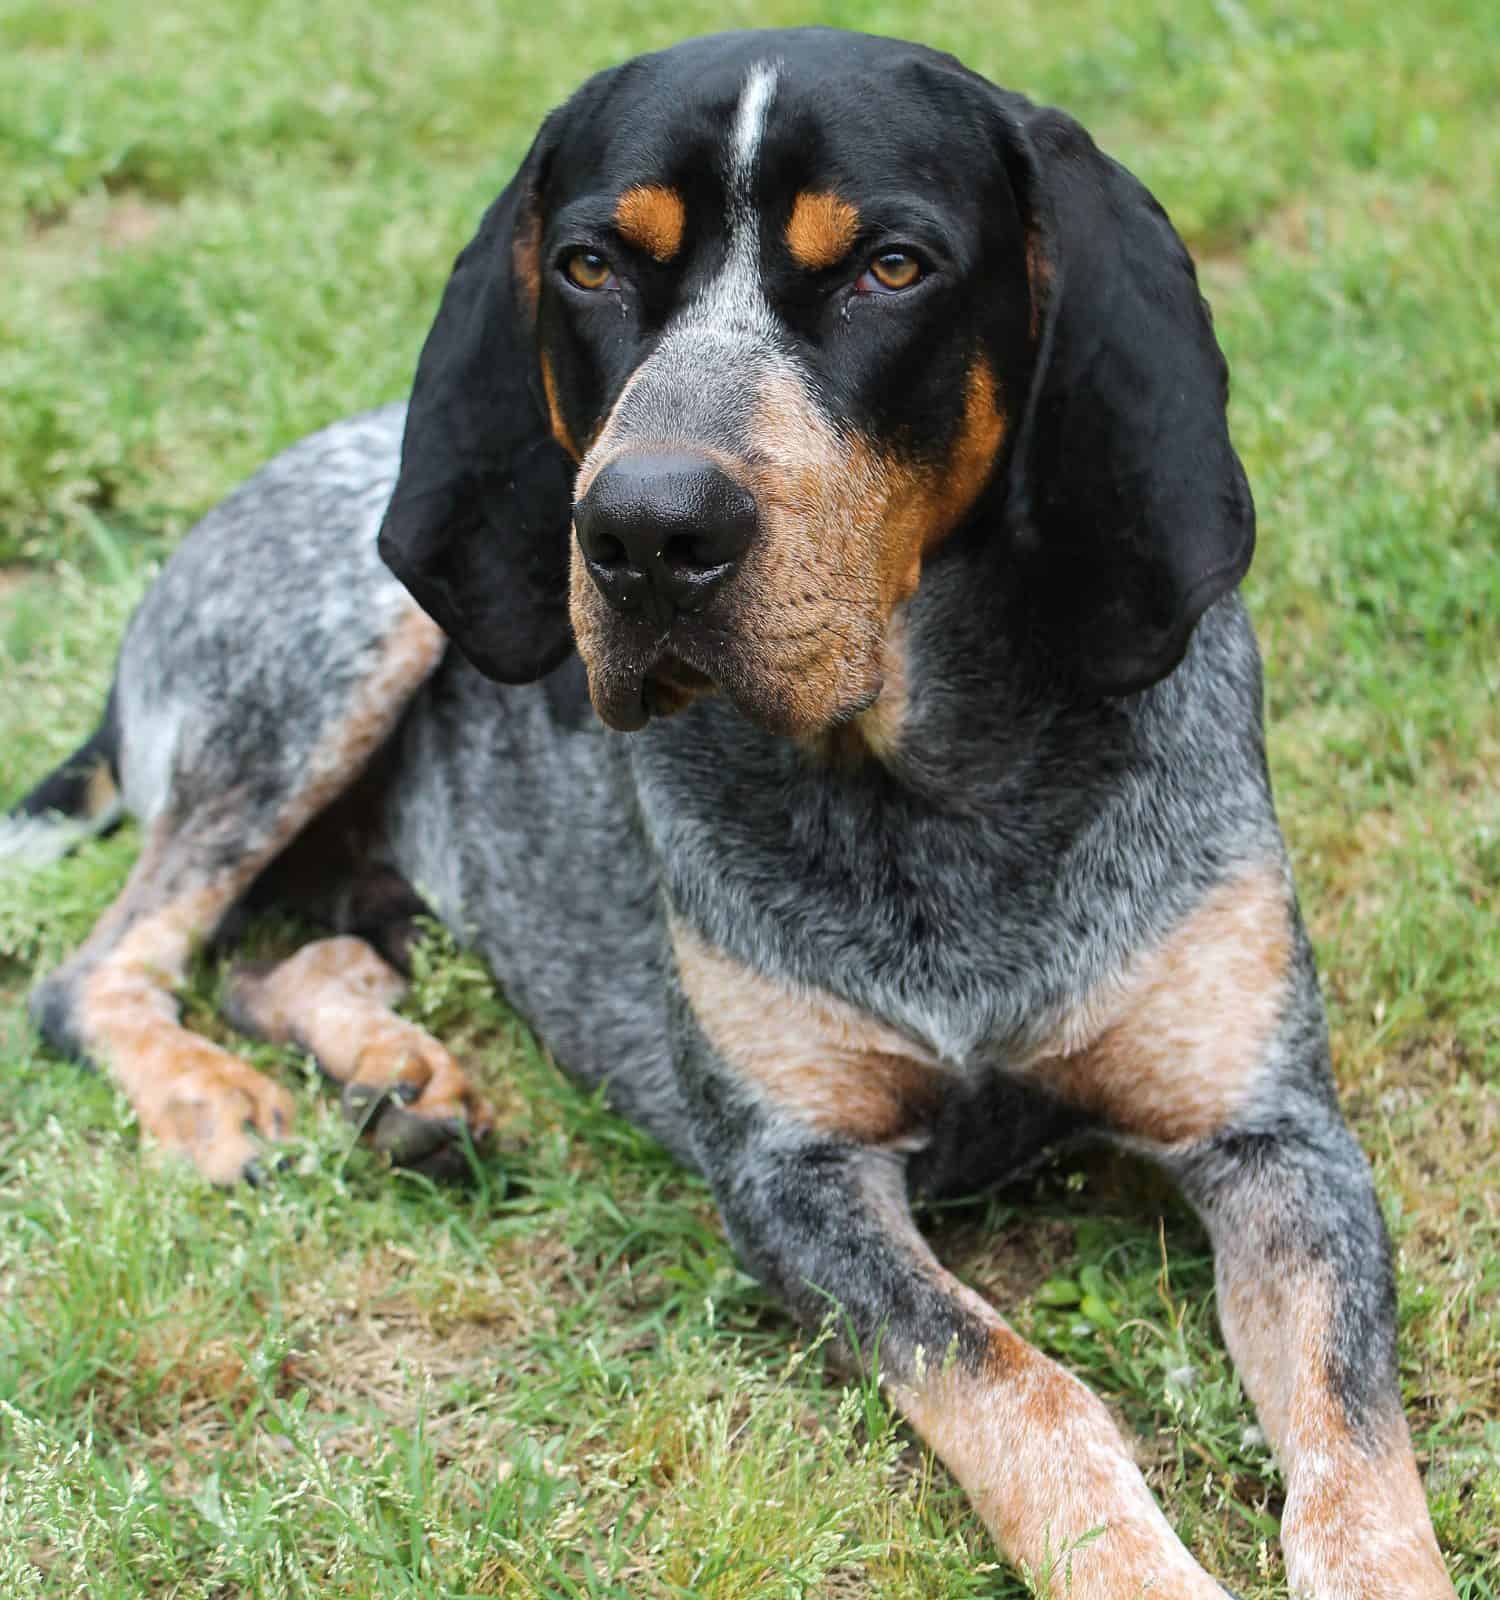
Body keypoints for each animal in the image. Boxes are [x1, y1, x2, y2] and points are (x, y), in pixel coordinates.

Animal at [0, 25, 1452, 1600]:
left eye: (891, 266)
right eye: (587, 265)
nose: (643, 532)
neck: (929, 789)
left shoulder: (1278, 1137)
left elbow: (1359, 1457)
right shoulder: (790, 1177)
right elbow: (1026, 1391)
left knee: (285, 960)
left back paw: (405, 1084)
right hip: (331, 651)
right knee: (99, 973)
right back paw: (216, 1099)